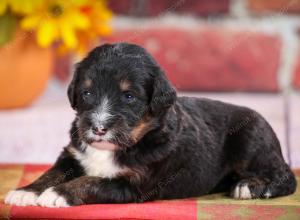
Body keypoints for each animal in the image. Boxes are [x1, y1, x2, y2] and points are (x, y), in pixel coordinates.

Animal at [4, 42, 296, 207]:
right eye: (86, 93)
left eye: (128, 96)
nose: (98, 128)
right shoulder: (72, 155)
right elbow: (52, 172)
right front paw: (26, 192)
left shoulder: (134, 184)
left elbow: (90, 181)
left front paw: (58, 194)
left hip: (252, 140)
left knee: (286, 177)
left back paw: (251, 186)